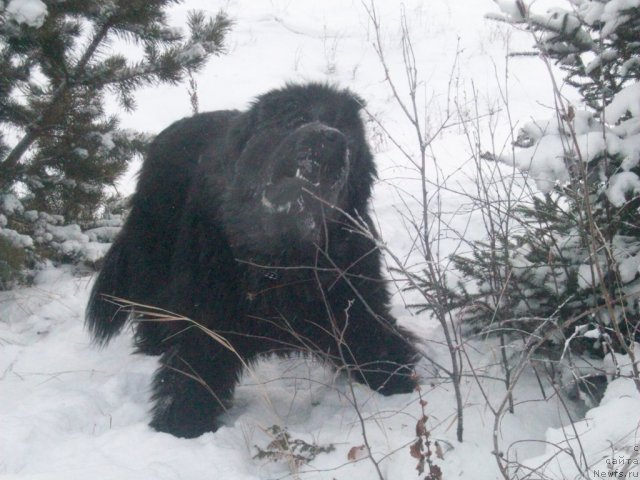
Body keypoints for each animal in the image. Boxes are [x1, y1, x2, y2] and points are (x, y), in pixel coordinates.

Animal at [87, 83, 418, 438]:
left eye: (345, 127)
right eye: (295, 118)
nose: (331, 137)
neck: (283, 259)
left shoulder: (353, 300)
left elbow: (376, 341)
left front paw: (401, 382)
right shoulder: (209, 314)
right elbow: (194, 370)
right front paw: (179, 424)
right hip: (155, 247)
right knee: (152, 302)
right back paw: (156, 342)